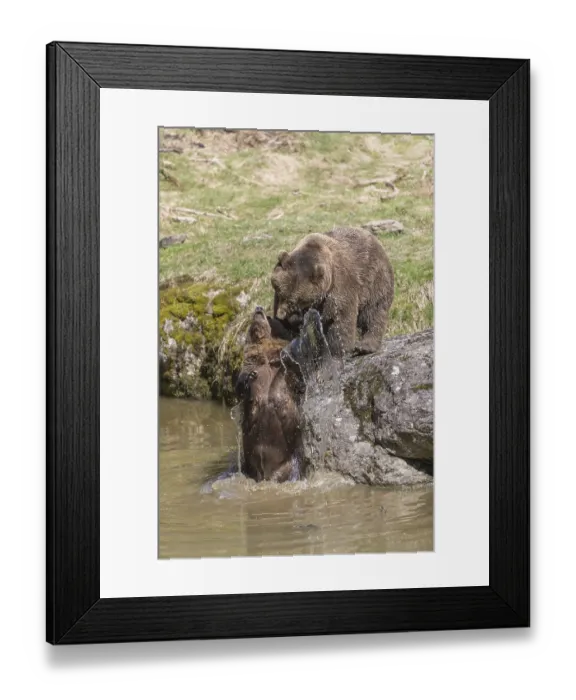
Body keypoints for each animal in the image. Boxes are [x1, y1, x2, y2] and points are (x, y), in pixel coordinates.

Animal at [234, 306, 304, 483]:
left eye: (270, 316)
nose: (258, 308)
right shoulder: (250, 363)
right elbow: (240, 387)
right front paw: (248, 379)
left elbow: (292, 377)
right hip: (250, 466)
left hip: (290, 463)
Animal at [271, 227, 395, 357]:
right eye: (279, 291)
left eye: (294, 301)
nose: (281, 316)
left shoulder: (339, 285)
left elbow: (339, 318)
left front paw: (338, 350)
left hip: (376, 280)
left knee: (374, 312)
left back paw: (364, 346)